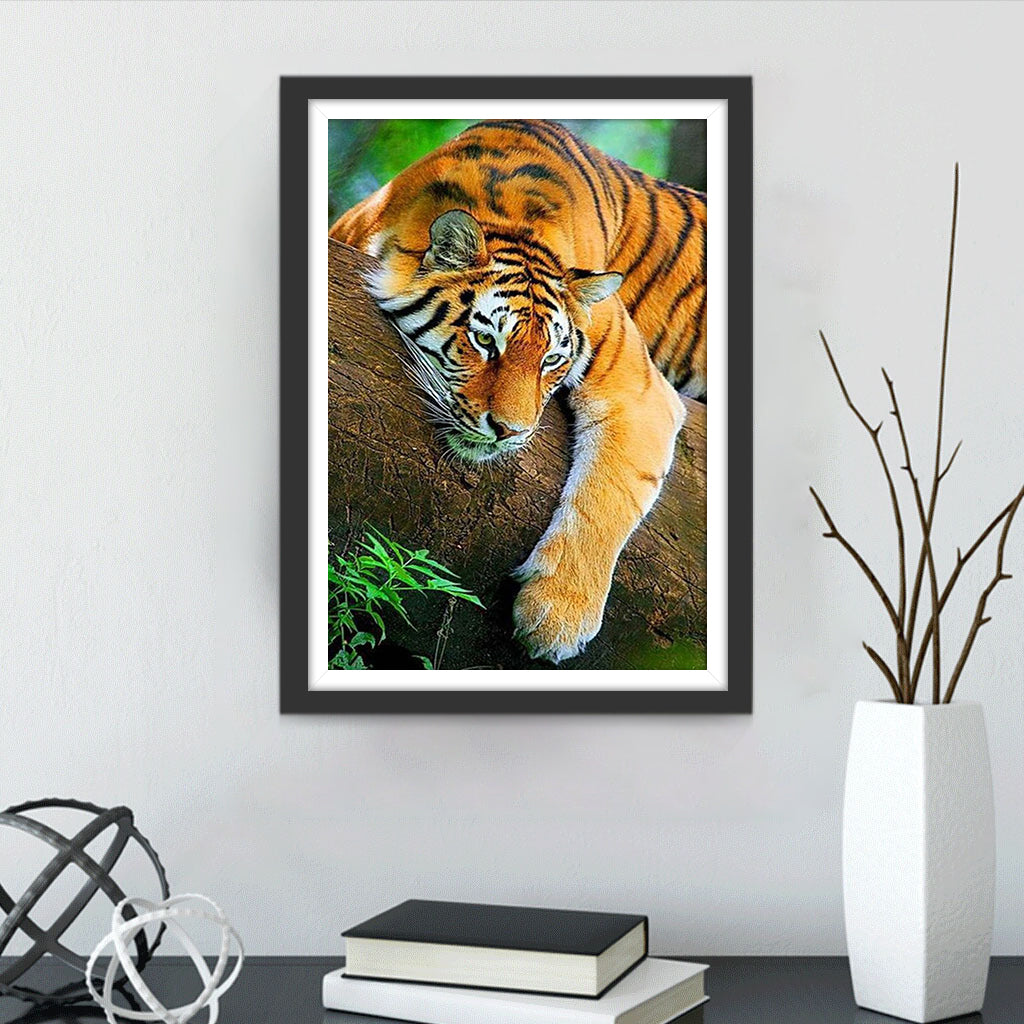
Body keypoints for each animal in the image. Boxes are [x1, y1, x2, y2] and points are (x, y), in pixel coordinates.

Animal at [330, 119, 707, 663]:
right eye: (486, 341)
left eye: (551, 360)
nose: (509, 431)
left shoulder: (639, 389)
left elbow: (607, 497)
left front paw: (557, 617)